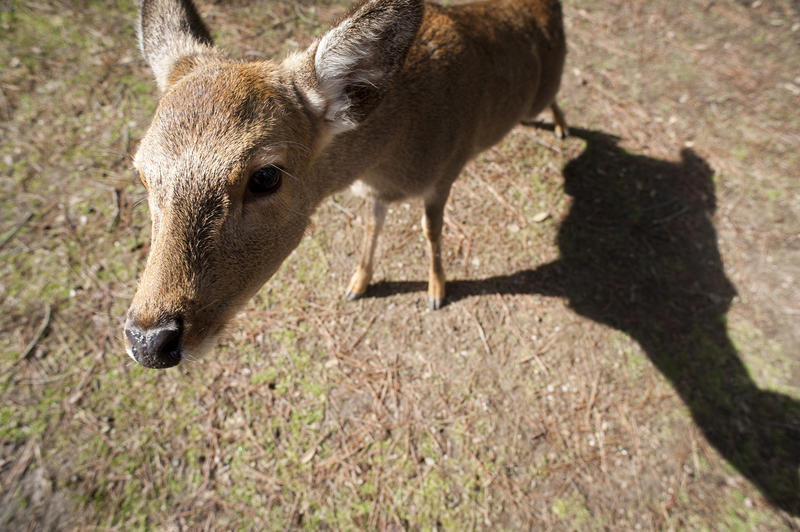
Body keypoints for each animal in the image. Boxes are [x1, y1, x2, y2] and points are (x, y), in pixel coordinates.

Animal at [123, 0, 568, 368]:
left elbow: (432, 230)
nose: (149, 341)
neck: (392, 158)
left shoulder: (446, 170)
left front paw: (437, 291)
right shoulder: (376, 193)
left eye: (266, 176)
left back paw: (563, 128)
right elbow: (373, 224)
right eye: (141, 171)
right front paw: (359, 283)